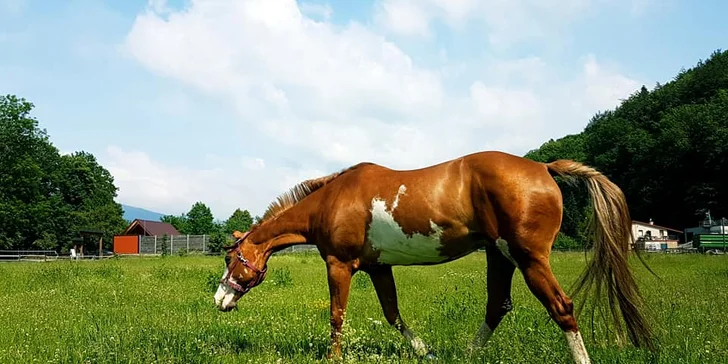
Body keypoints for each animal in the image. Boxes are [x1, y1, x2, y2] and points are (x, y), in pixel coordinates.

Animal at [212, 150, 656, 362]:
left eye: (231, 259)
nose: (219, 298)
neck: (332, 200)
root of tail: (543, 167)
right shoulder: (378, 267)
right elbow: (393, 315)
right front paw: (424, 350)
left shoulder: (340, 265)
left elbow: (337, 316)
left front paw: (332, 357)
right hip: (500, 256)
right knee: (497, 306)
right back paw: (466, 355)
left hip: (529, 258)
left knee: (561, 307)